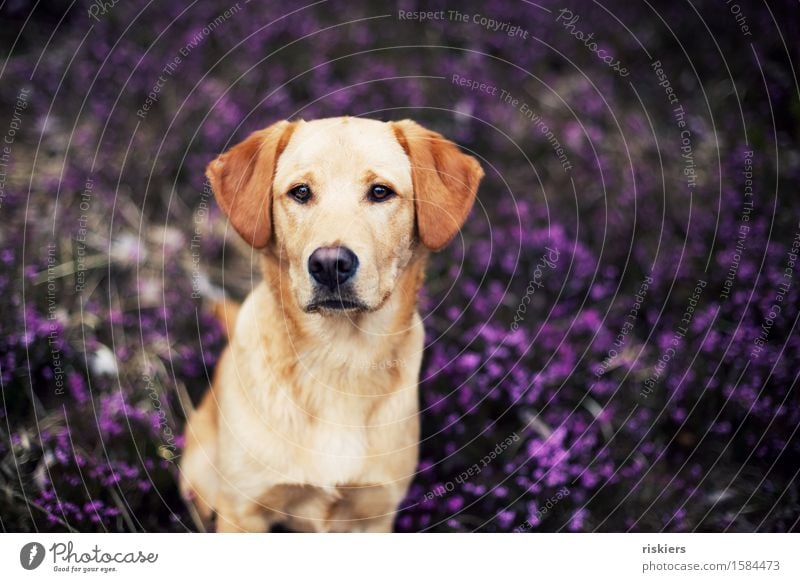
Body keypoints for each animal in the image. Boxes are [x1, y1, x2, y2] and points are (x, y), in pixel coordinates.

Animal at [179, 117, 484, 532]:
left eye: (380, 192)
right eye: (300, 192)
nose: (329, 264)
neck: (339, 359)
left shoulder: (376, 512)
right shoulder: (243, 510)